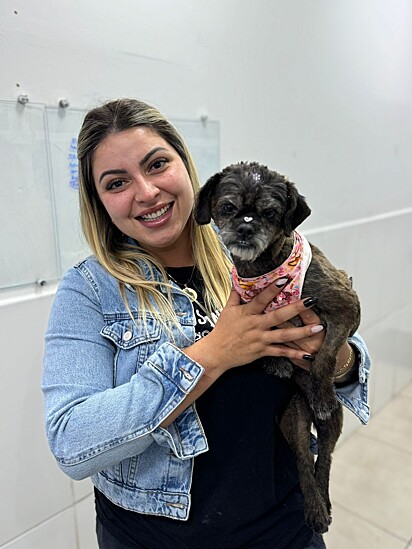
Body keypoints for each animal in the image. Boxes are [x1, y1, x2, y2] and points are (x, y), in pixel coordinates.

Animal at [193, 161, 360, 532]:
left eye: (270, 213)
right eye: (229, 208)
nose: (245, 228)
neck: (264, 268)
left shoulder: (347, 307)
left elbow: (324, 356)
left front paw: (321, 389)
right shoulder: (249, 313)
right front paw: (279, 363)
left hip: (334, 420)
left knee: (324, 458)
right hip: (293, 419)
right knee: (303, 459)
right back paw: (314, 508)